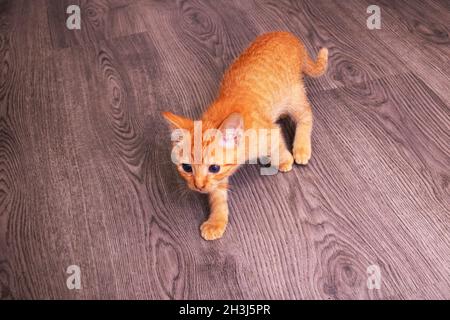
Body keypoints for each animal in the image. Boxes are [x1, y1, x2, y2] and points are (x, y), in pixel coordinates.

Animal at [162, 31, 326, 240]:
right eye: (187, 168)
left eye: (213, 167)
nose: (198, 186)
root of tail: (286, 34)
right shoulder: (217, 181)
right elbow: (217, 195)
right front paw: (216, 221)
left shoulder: (268, 131)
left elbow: (278, 144)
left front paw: (284, 160)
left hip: (293, 95)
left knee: (306, 115)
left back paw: (301, 148)